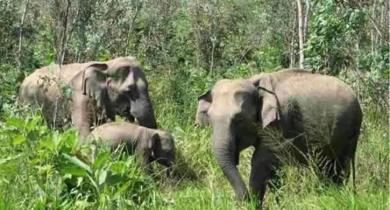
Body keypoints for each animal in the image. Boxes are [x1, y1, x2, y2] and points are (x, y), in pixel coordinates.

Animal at [197, 68, 364, 205]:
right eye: (210, 119)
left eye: (239, 119)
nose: (242, 199)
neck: (254, 82)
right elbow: (272, 169)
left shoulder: (280, 121)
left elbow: (261, 162)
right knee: (326, 166)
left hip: (351, 131)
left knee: (340, 166)